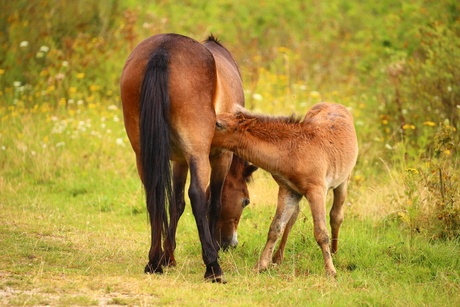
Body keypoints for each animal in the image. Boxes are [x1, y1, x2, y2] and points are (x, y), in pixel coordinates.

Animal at [120, 33, 256, 284]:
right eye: (245, 201)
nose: (229, 244)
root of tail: (163, 50)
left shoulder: (179, 161)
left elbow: (176, 204)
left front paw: (168, 257)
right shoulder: (220, 156)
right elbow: (213, 203)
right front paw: (212, 252)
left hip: (143, 154)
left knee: (154, 196)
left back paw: (154, 261)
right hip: (198, 154)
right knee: (198, 197)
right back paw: (213, 268)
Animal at [212, 102, 360, 278]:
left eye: (218, 124)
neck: (292, 151)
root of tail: (335, 104)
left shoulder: (317, 190)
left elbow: (321, 232)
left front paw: (330, 271)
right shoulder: (287, 190)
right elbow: (275, 227)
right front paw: (261, 265)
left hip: (343, 181)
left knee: (336, 215)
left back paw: (334, 253)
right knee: (293, 218)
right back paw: (278, 257)